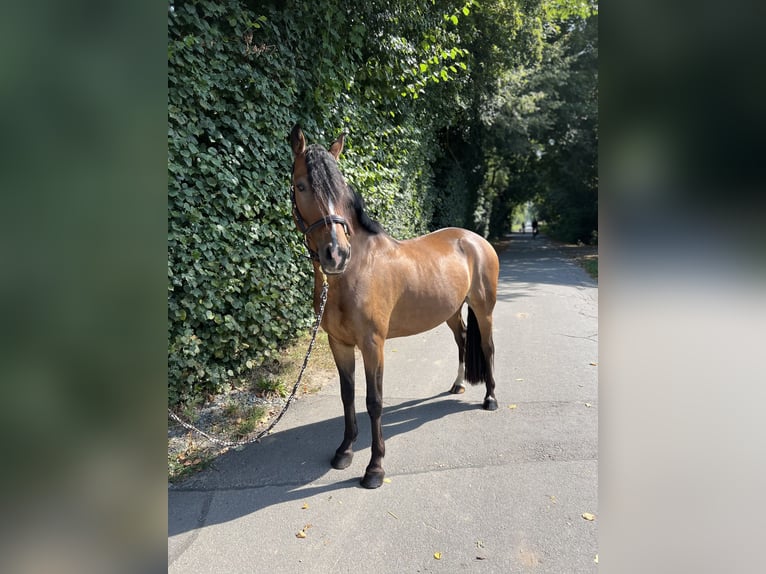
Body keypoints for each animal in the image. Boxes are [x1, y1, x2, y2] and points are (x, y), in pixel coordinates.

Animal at [292, 126, 500, 490]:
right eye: (301, 185)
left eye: (340, 189)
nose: (336, 254)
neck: (354, 271)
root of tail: (475, 240)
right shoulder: (339, 343)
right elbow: (348, 395)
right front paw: (345, 450)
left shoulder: (373, 344)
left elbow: (374, 401)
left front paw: (374, 468)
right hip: (451, 312)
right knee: (462, 340)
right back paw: (458, 384)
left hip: (483, 308)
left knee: (487, 348)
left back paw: (490, 398)